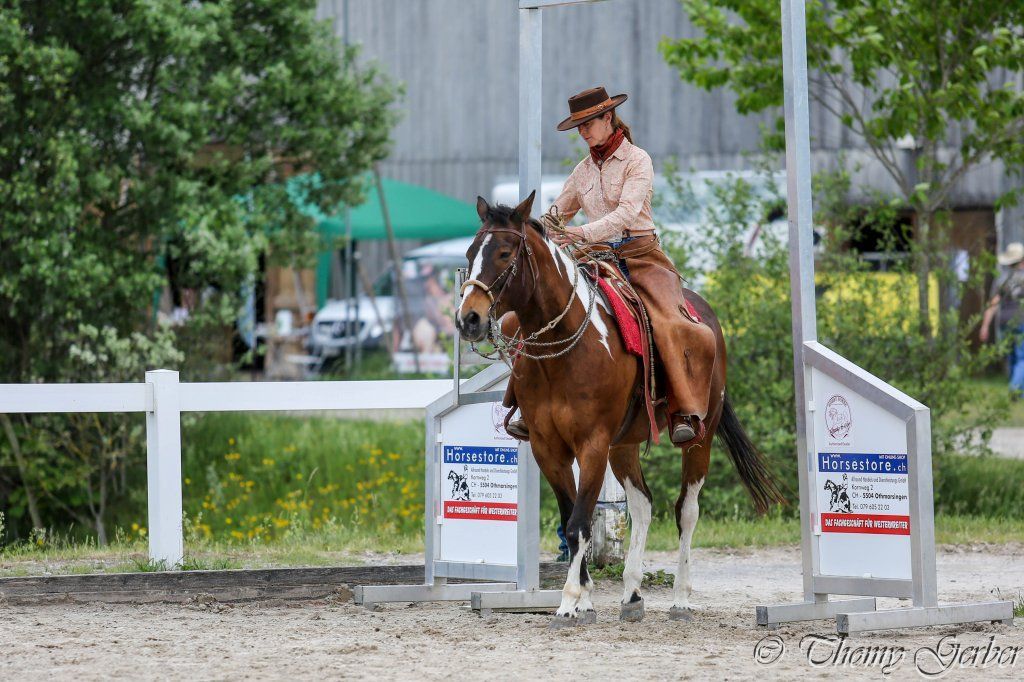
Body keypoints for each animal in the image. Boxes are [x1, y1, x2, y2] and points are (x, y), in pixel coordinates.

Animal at [455, 191, 784, 626]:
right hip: (624, 444)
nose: (468, 319)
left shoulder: (593, 444)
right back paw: (631, 593)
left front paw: (569, 601)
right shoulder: (548, 447)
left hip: (700, 436)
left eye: (506, 253)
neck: (566, 349)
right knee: (643, 505)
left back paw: (681, 598)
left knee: (687, 510)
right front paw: (586, 599)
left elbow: (579, 524)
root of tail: (706, 315)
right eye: (470, 252)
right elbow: (570, 518)